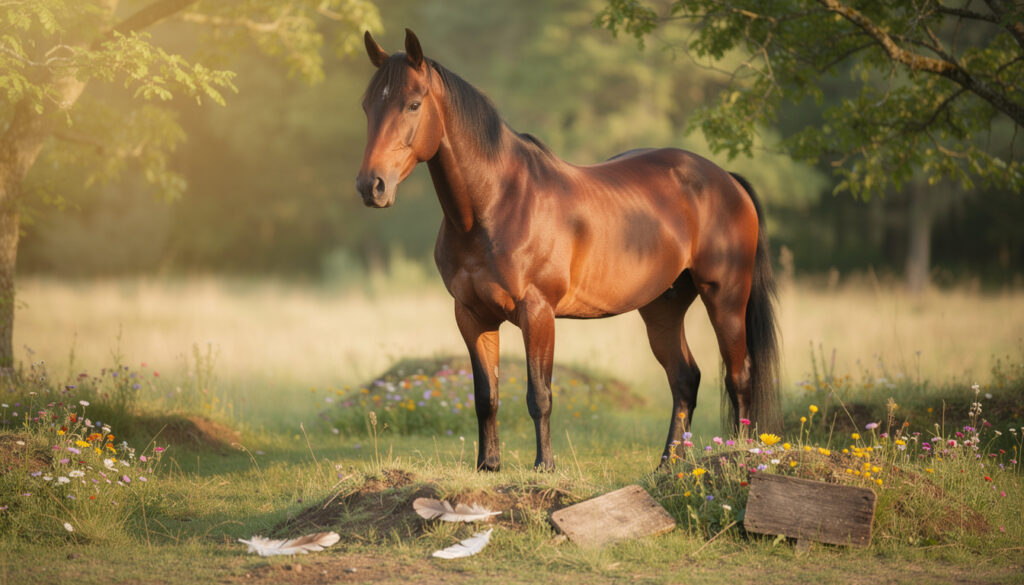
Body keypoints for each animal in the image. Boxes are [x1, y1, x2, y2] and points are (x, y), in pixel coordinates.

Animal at [356, 29, 781, 471]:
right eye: (367, 105)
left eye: (413, 103)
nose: (372, 186)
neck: (496, 204)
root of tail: (725, 179)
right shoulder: (471, 315)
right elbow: (486, 396)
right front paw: (488, 466)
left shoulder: (538, 312)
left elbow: (539, 395)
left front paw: (544, 466)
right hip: (663, 307)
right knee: (685, 379)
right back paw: (668, 464)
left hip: (726, 298)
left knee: (739, 377)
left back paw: (738, 458)